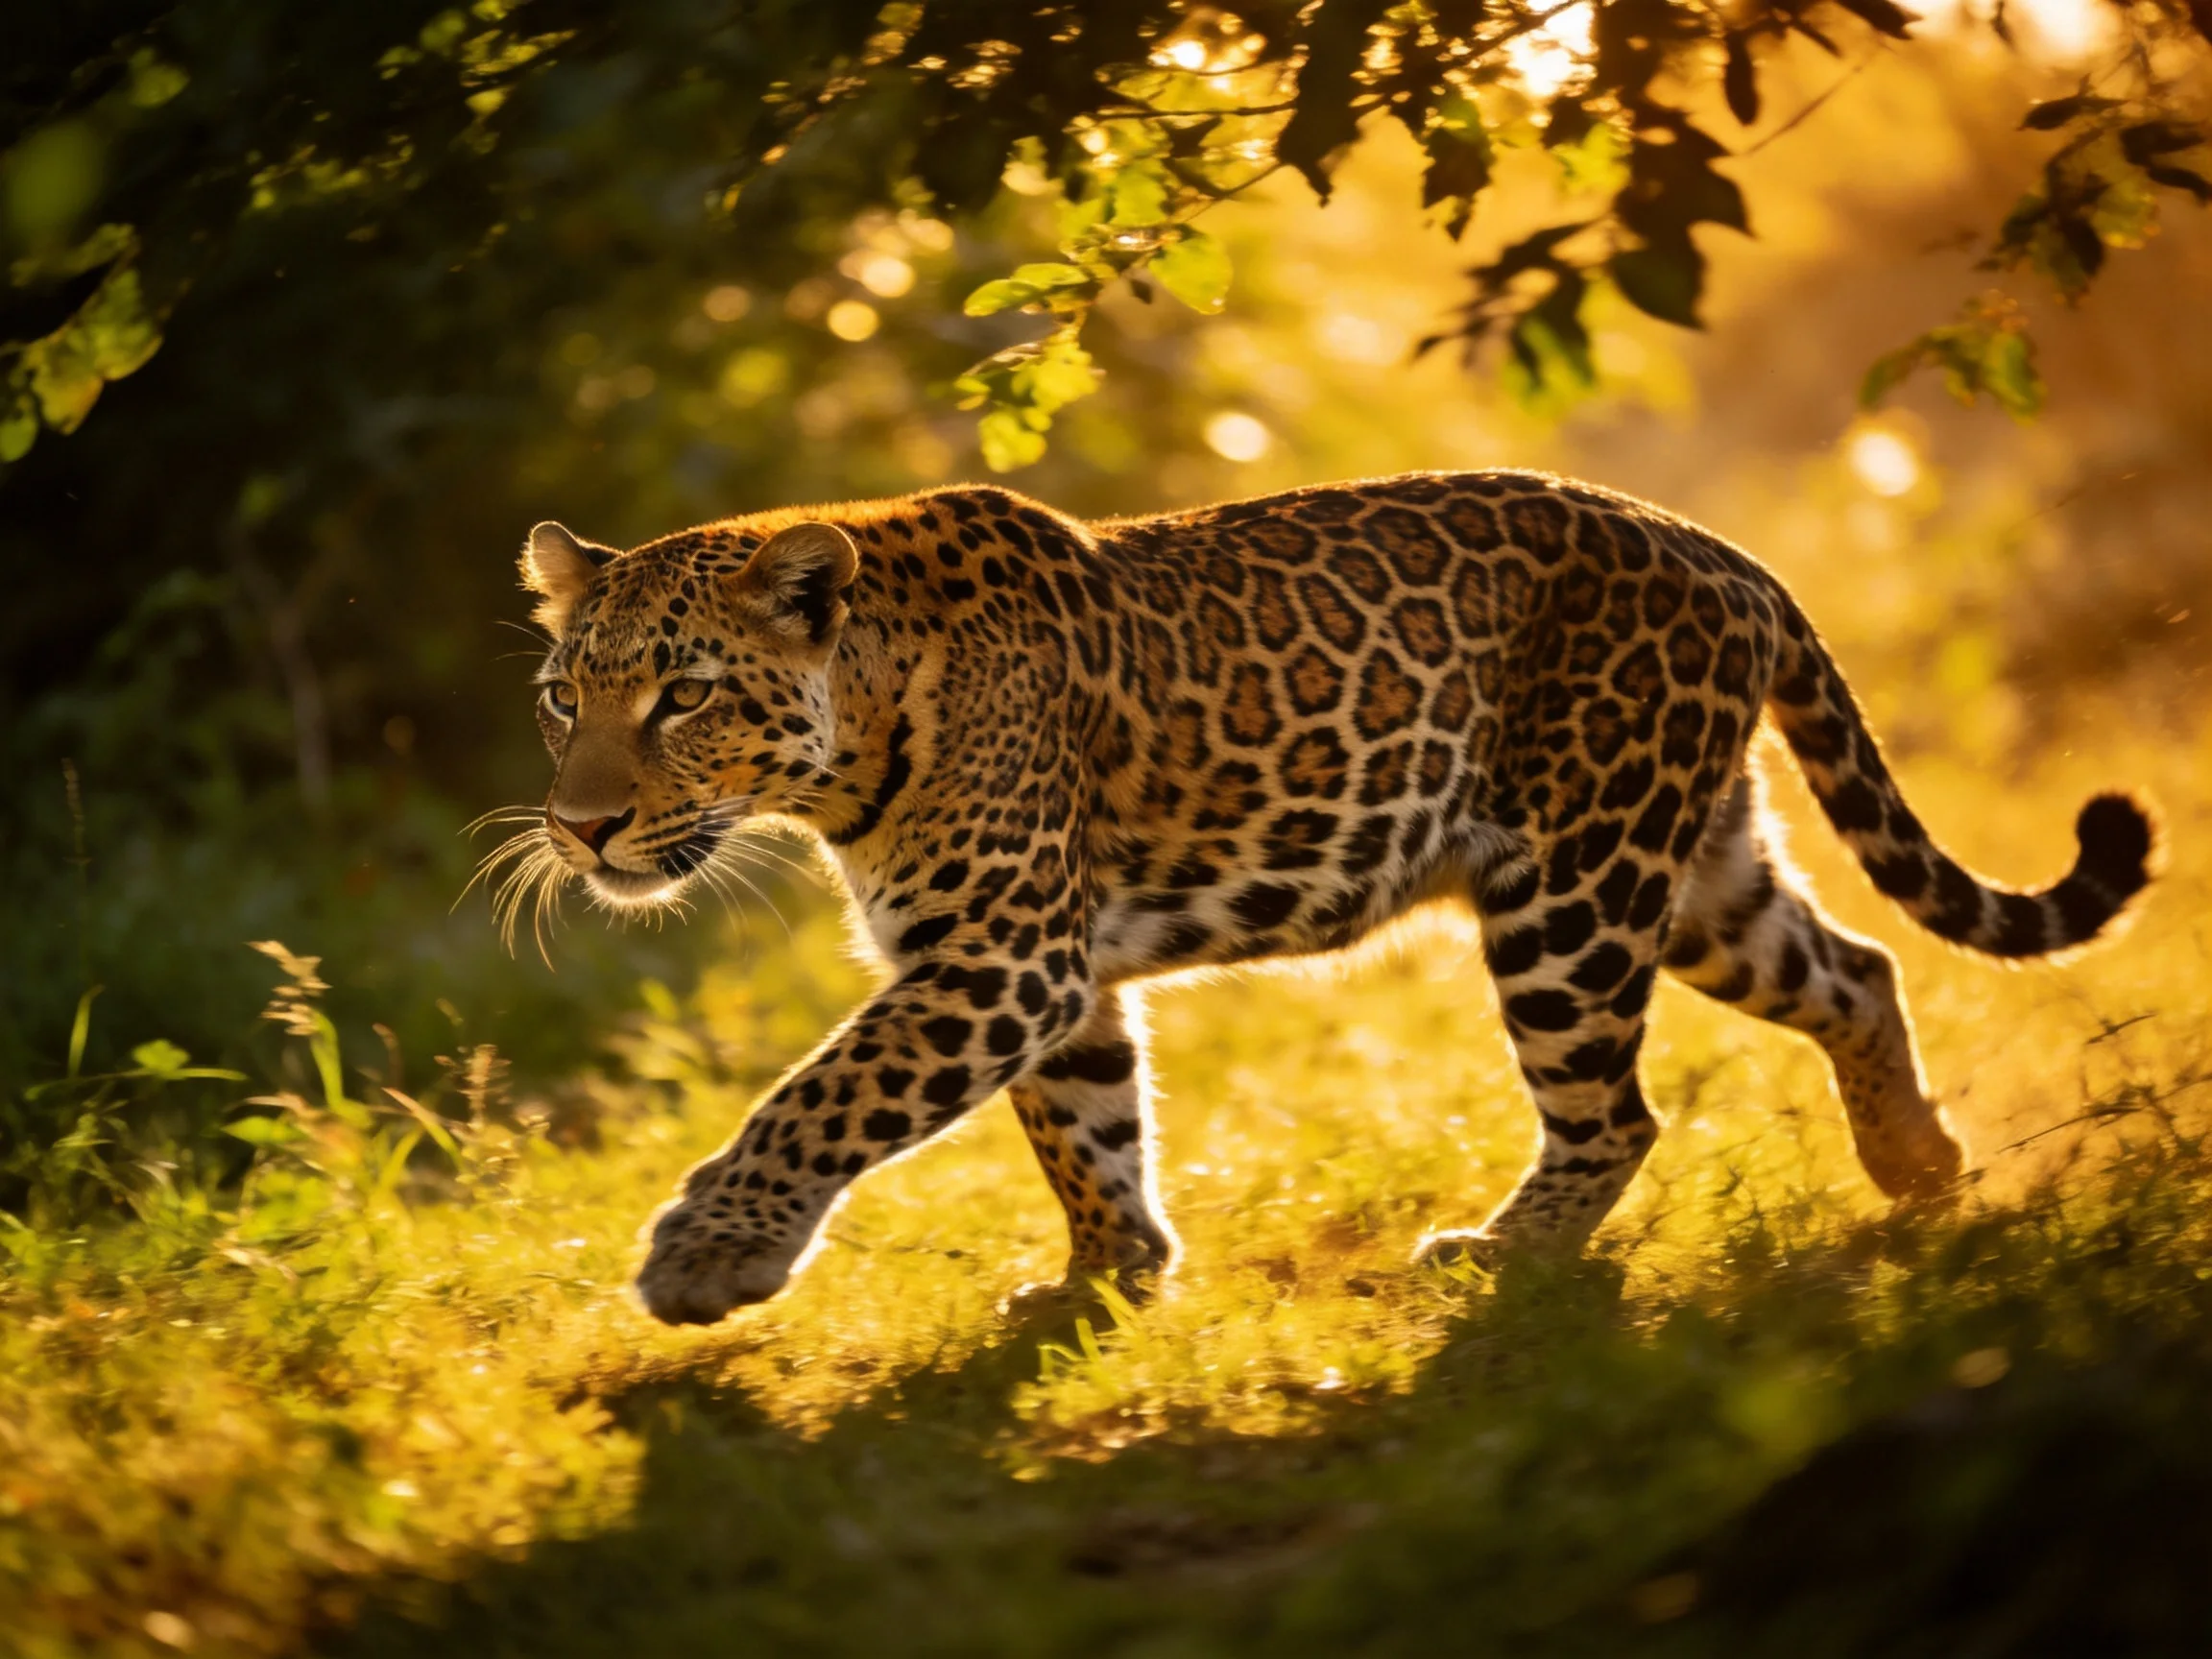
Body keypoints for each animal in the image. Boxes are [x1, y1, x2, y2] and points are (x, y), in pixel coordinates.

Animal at [509, 470, 2155, 1326]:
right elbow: (1083, 1128)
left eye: (681, 697)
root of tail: (1720, 545)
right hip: (1698, 874)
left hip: (1571, 885)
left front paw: (708, 1253)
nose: (582, 828)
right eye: (562, 697)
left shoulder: (997, 958)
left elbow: (825, 1094)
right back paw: (1918, 1164)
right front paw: (1111, 1281)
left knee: (1617, 1111)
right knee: (1856, 966)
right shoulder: (1047, 974)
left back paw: (1501, 1258)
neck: (853, 731)